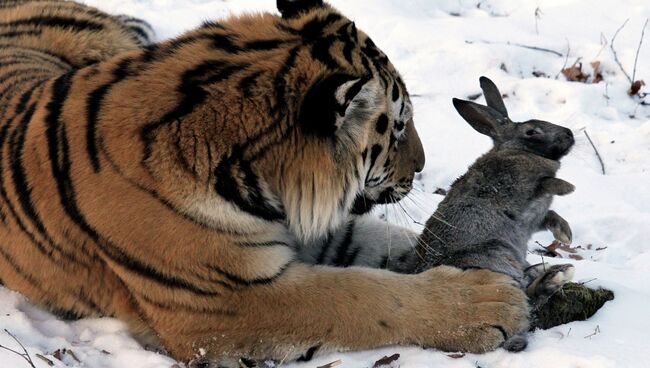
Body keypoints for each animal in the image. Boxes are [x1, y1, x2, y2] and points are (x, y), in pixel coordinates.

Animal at [0, 0, 528, 366]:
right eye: (398, 128)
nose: (420, 167)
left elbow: (391, 246)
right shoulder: (228, 299)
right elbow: (364, 296)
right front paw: (491, 302)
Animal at [412, 77, 576, 350]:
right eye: (531, 131)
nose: (570, 134)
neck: (520, 151)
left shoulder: (535, 217)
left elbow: (550, 213)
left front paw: (565, 234)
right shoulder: (517, 188)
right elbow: (545, 183)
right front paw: (568, 187)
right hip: (495, 258)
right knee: (527, 300)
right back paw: (556, 276)